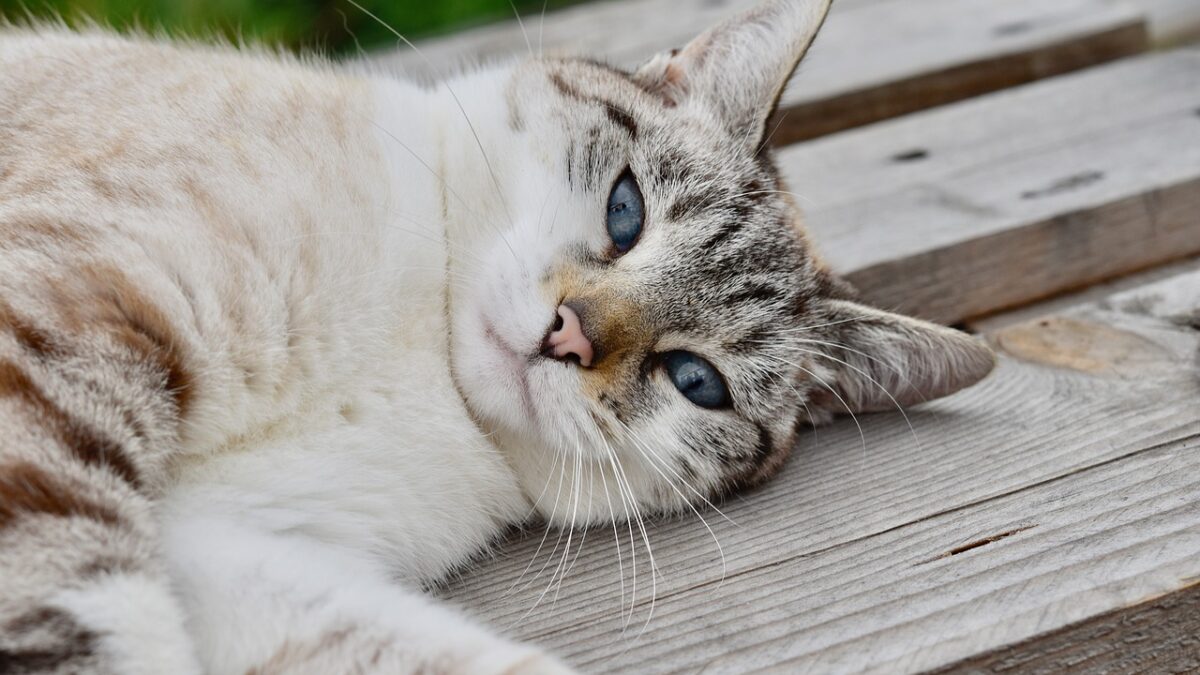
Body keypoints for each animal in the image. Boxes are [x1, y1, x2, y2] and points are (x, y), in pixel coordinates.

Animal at [0, 1, 993, 667]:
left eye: (695, 380)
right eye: (626, 210)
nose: (568, 337)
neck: (421, 368)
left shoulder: (228, 552)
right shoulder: (71, 318)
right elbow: (76, 611)